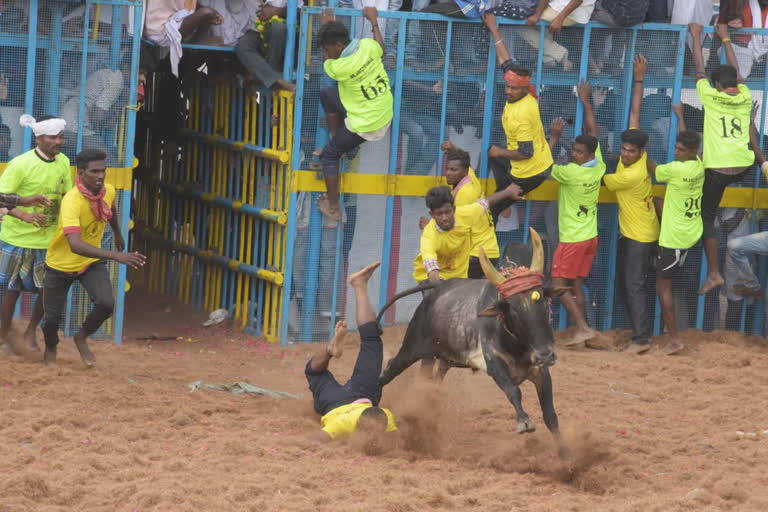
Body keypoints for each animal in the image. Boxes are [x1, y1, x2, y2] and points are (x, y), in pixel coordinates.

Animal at [376, 230, 568, 438]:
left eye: (543, 302)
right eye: (514, 310)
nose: (545, 355)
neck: (514, 343)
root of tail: (437, 289)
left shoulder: (540, 371)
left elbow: (550, 416)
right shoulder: (493, 364)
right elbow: (513, 390)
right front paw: (524, 421)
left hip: (446, 358)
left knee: (434, 380)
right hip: (411, 347)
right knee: (389, 369)